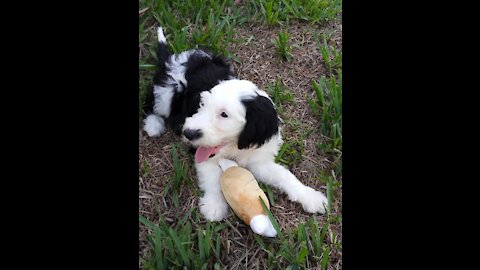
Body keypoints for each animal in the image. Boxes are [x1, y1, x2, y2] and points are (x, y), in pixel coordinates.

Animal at [142, 26, 328, 221]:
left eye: (224, 115)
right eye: (202, 105)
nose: (188, 133)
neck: (234, 147)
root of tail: (174, 58)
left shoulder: (259, 159)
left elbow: (284, 175)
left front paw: (310, 196)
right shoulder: (203, 154)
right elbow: (213, 178)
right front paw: (214, 206)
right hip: (166, 92)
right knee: (150, 103)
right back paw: (153, 124)